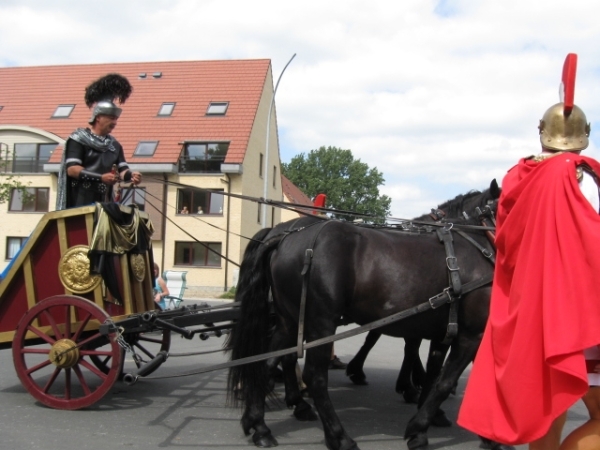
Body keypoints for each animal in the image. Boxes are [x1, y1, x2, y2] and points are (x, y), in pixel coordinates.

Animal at [230, 185, 502, 448]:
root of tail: (285, 238)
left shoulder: (442, 331)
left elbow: (436, 373)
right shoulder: (471, 334)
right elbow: (446, 380)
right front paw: (420, 425)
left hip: (289, 321)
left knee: (266, 363)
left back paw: (259, 425)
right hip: (320, 324)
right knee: (314, 376)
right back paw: (337, 436)